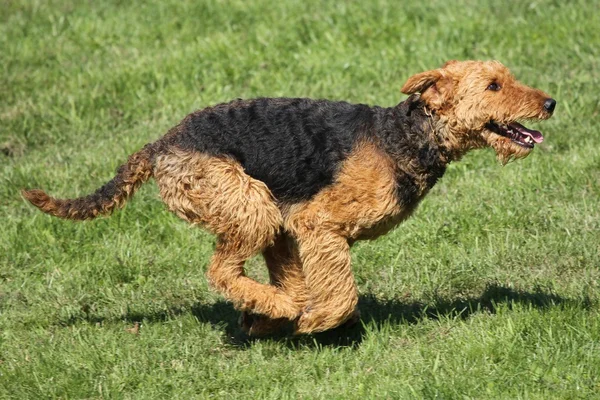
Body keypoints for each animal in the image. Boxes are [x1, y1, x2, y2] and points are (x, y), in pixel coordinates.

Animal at [24, 59, 556, 334]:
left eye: (506, 77)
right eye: (493, 85)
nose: (550, 102)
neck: (405, 136)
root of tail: (160, 144)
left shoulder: (299, 227)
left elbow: (320, 286)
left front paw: (291, 318)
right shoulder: (319, 223)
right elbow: (341, 295)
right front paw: (314, 322)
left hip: (268, 217)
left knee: (259, 277)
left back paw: (263, 315)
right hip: (250, 204)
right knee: (222, 271)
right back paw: (278, 311)